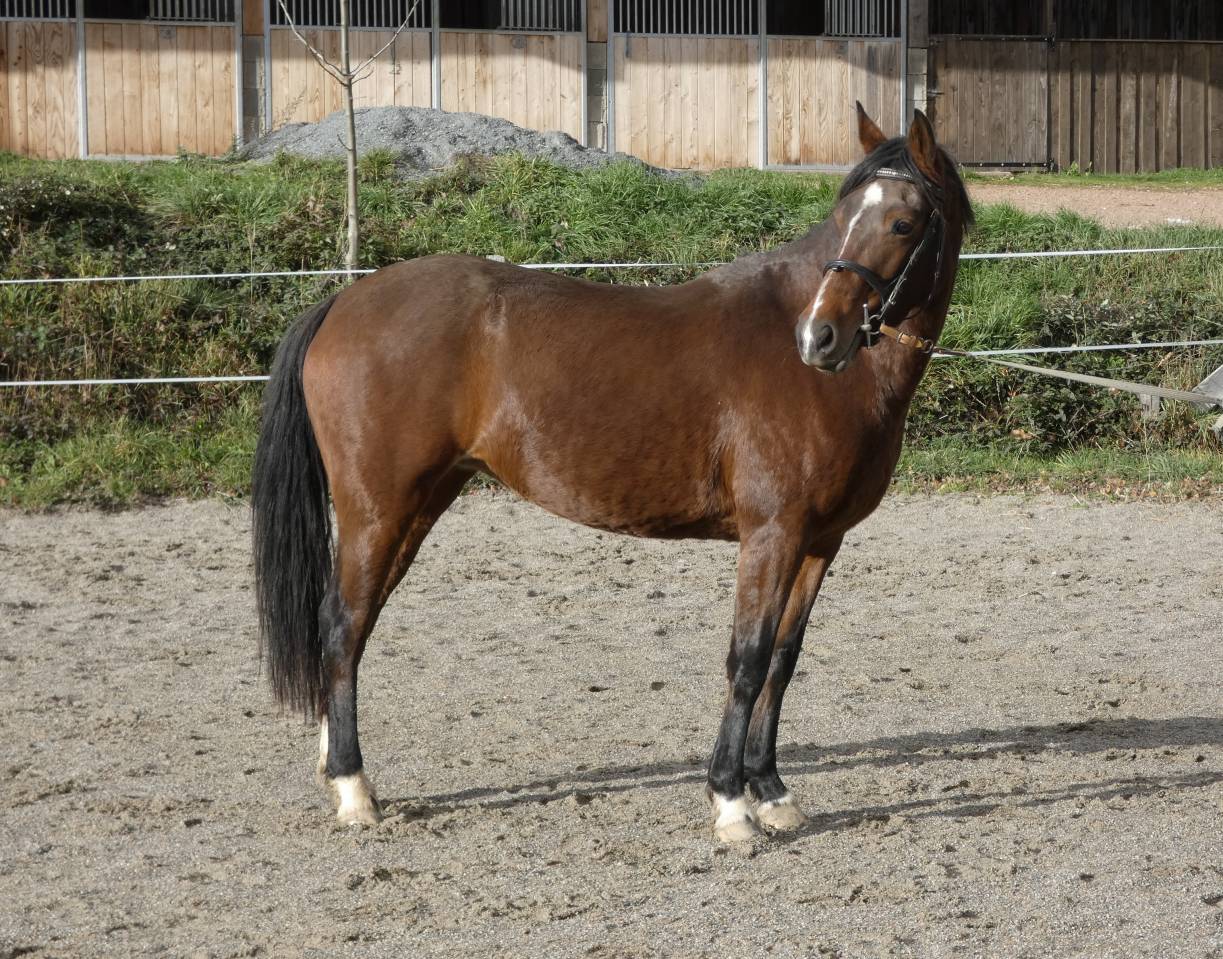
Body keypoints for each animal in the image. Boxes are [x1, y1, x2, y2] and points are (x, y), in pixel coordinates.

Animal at [251, 104, 973, 843]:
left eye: (902, 223)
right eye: (845, 213)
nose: (818, 337)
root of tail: (343, 304)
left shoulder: (819, 542)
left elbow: (781, 660)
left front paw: (771, 791)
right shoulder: (772, 535)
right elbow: (745, 661)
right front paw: (731, 803)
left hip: (417, 506)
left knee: (351, 627)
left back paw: (333, 764)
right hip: (378, 509)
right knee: (342, 624)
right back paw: (353, 787)